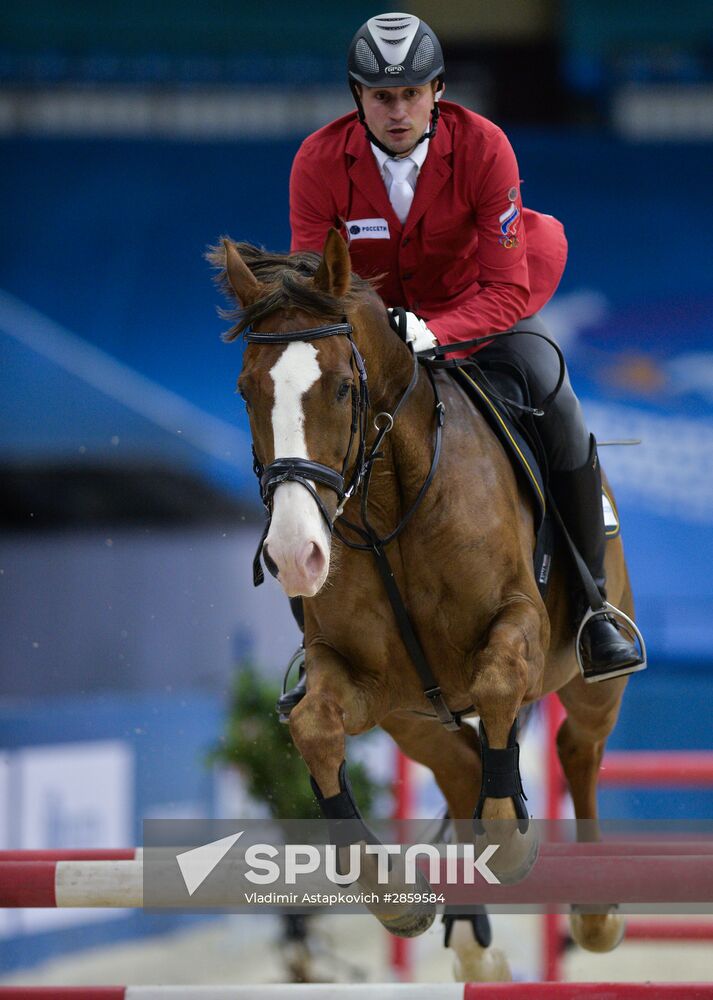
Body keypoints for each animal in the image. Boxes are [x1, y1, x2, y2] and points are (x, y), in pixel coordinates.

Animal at [209, 230, 632, 980]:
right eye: (245, 391)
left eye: (343, 388)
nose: (294, 553)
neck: (385, 506)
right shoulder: (360, 676)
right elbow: (314, 727)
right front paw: (389, 893)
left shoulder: (519, 623)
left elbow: (498, 678)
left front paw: (509, 838)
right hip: (413, 718)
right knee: (462, 766)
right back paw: (474, 939)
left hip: (586, 675)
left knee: (577, 745)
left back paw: (593, 910)